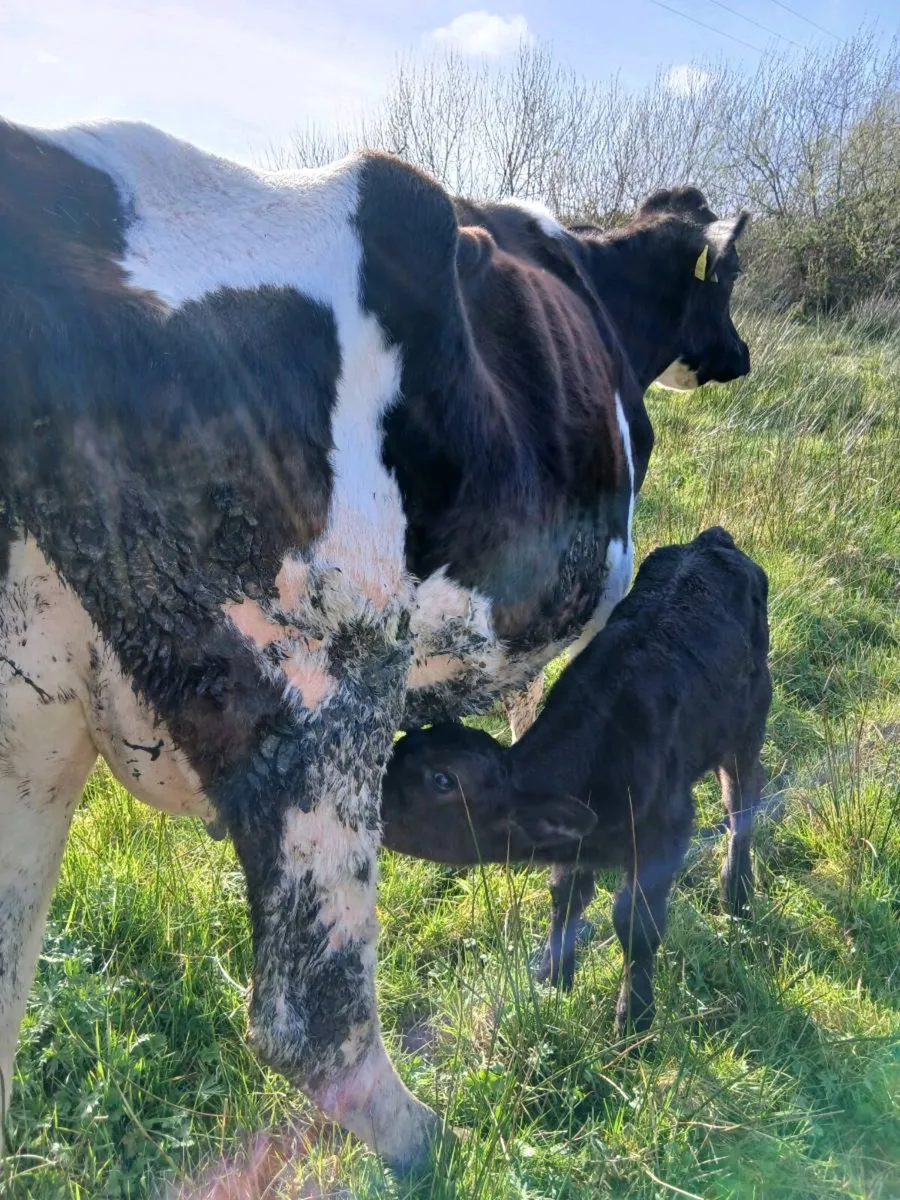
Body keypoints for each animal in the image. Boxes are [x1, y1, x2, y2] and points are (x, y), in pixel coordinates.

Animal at [381, 528, 772, 1030]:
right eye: (403, 743)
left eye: (443, 780)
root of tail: (711, 540)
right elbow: (565, 898)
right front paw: (553, 977)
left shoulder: (667, 832)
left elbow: (635, 924)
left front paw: (634, 1017)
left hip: (748, 724)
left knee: (742, 804)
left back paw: (737, 895)